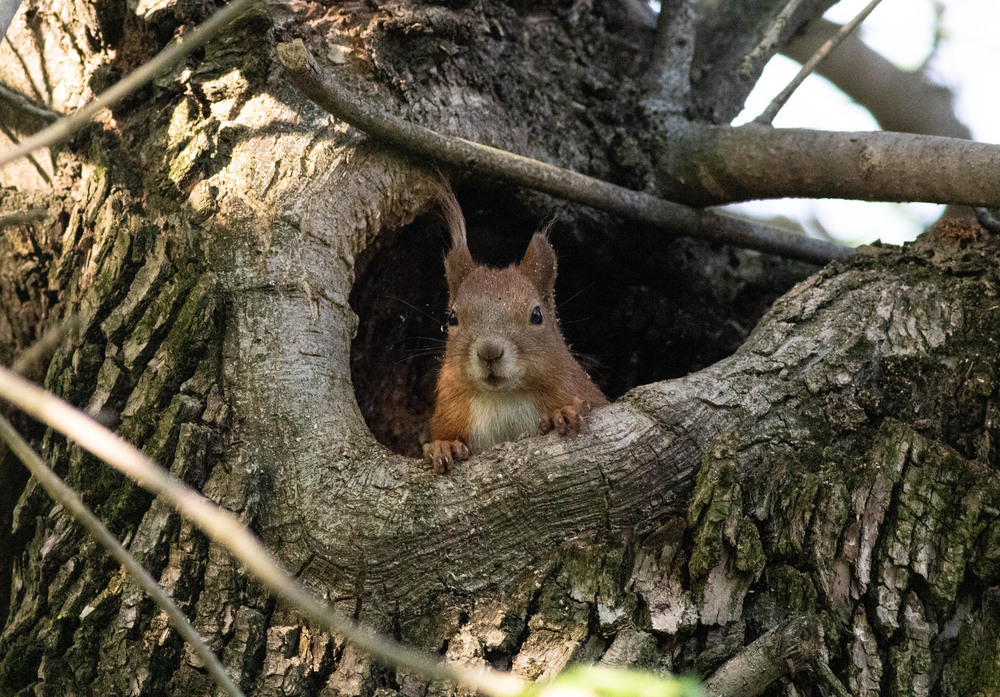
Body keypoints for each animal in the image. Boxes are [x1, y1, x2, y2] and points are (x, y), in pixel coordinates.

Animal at [420, 186, 604, 474]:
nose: (489, 351)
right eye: (452, 318)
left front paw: (564, 413)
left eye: (537, 315)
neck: (503, 399)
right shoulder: (450, 411)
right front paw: (443, 447)